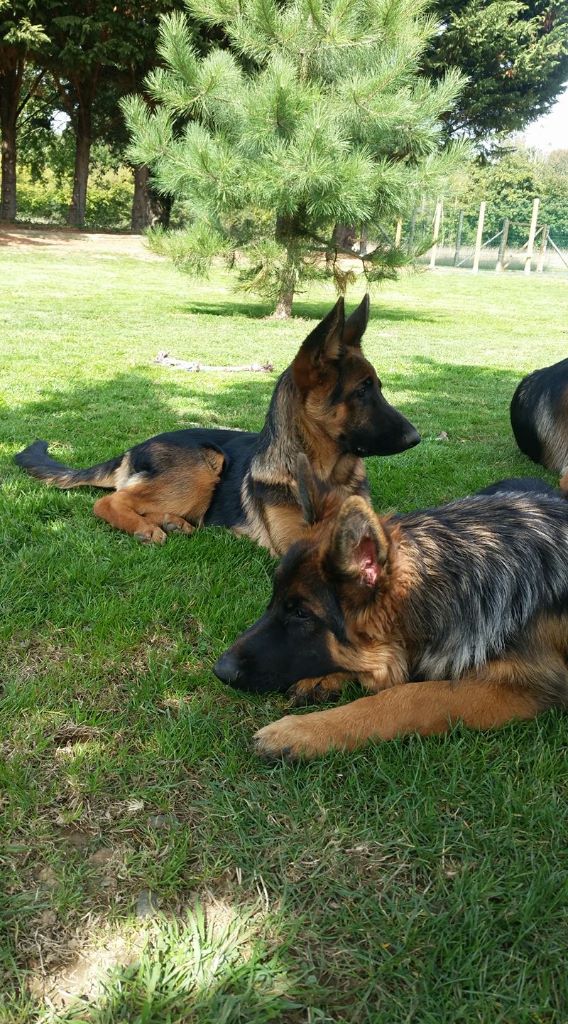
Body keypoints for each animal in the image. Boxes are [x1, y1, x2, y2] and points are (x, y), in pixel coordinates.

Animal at [15, 294, 419, 552]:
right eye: (362, 390)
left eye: (378, 387)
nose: (417, 438)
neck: (326, 472)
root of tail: (134, 448)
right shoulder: (297, 543)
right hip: (203, 463)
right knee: (108, 502)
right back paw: (147, 528)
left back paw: (171, 522)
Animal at [214, 460, 568, 757]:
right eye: (274, 599)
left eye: (301, 613)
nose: (220, 671)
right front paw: (326, 678)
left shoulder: (525, 686)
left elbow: (411, 696)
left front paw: (303, 731)